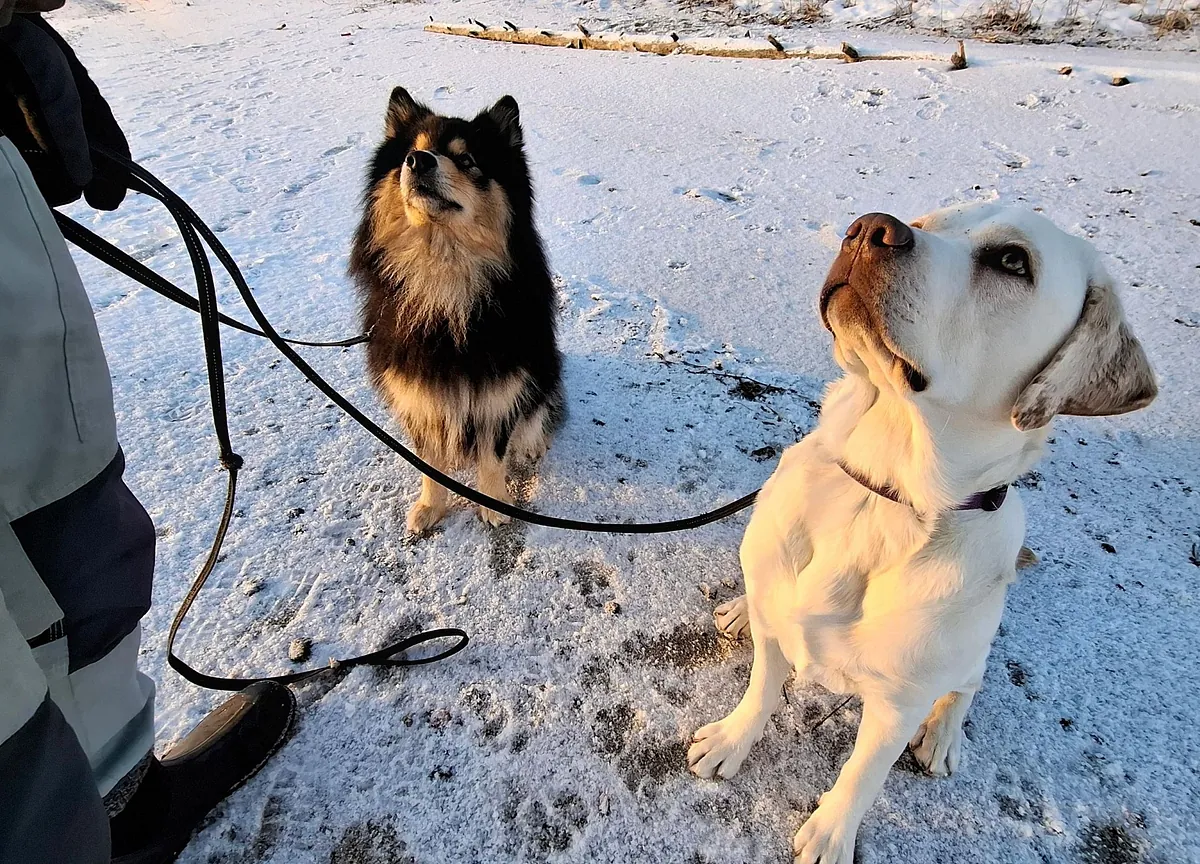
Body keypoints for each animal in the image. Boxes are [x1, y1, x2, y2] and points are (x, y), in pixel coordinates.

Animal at [350, 89, 561, 532]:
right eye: (410, 152)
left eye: (467, 160)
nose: (419, 161)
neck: (444, 275)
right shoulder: (418, 391)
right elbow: (430, 463)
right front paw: (431, 506)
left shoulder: (501, 388)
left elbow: (493, 454)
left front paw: (494, 505)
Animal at [691, 204, 1156, 864]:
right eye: (927, 219)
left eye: (1013, 260)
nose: (868, 229)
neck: (880, 492)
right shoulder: (779, 633)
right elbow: (760, 690)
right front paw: (731, 740)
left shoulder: (897, 704)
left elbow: (861, 775)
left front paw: (830, 836)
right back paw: (738, 609)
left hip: (965, 656)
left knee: (966, 686)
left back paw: (943, 737)